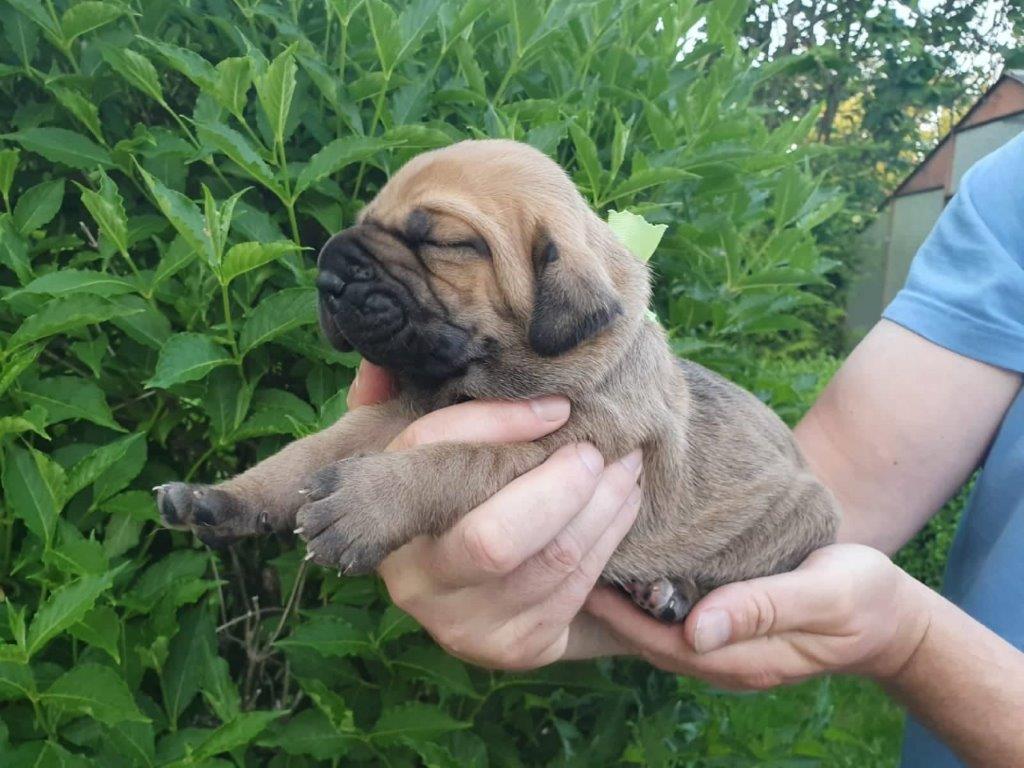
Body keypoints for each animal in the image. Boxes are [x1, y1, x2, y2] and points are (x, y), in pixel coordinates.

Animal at [153, 137, 839, 618]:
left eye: (444, 243)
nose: (328, 276)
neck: (471, 376)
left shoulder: (574, 443)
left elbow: (459, 461)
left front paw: (366, 504)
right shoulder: (393, 413)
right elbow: (302, 456)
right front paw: (222, 497)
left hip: (802, 518)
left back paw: (671, 591)